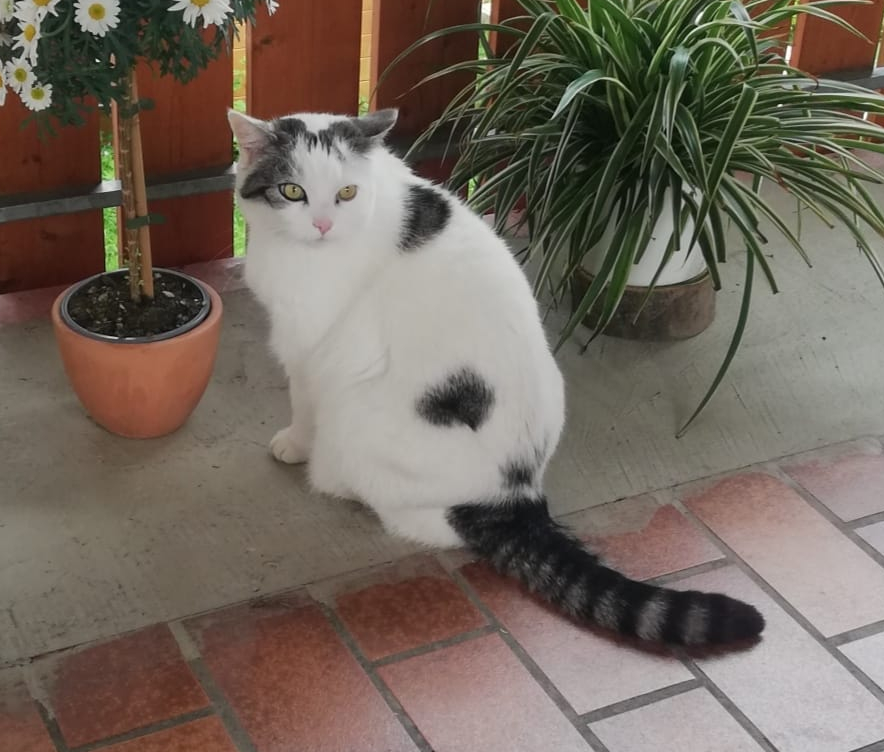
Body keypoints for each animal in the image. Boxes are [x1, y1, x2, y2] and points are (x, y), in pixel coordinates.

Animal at [228, 107, 765, 647]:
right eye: (292, 191)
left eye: (346, 192)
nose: (322, 224)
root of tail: (518, 496)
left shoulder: (307, 344)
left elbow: (301, 400)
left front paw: (293, 444)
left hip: (356, 418)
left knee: (428, 521)